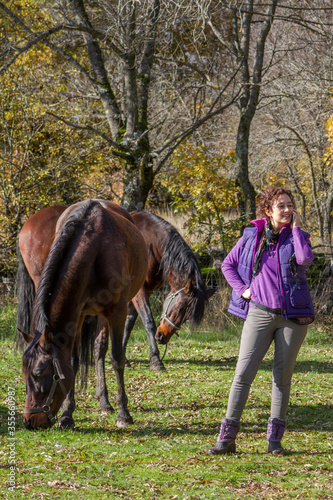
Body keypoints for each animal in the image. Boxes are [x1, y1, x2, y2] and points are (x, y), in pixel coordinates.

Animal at [18, 199, 147, 430]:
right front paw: (67, 414)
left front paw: (123, 413)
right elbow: (74, 361)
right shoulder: (76, 315)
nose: (29, 421)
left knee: (100, 349)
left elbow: (117, 358)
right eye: (24, 375)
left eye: (38, 374)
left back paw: (106, 402)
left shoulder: (117, 312)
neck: (94, 249)